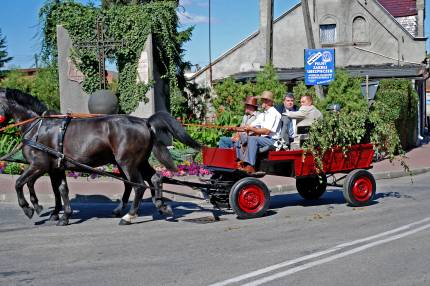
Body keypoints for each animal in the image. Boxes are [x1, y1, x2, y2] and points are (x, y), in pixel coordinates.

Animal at [0, 89, 202, 226]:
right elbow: (60, 190)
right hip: (139, 161)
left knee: (138, 185)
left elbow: (20, 183)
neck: (39, 127)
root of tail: (145, 122)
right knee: (154, 178)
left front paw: (30, 208)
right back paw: (160, 205)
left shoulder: (39, 165)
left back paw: (129, 215)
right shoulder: (54, 168)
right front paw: (60, 214)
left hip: (127, 162)